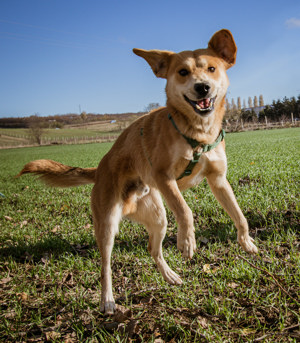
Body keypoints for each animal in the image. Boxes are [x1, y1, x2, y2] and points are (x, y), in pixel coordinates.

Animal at [18, 30, 258, 318]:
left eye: (212, 69)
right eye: (182, 72)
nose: (203, 87)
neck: (197, 134)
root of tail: (99, 169)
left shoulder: (218, 180)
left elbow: (239, 214)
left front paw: (246, 242)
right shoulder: (164, 176)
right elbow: (185, 210)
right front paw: (188, 242)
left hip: (158, 217)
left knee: (152, 250)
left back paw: (169, 275)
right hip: (108, 224)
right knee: (105, 266)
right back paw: (107, 300)